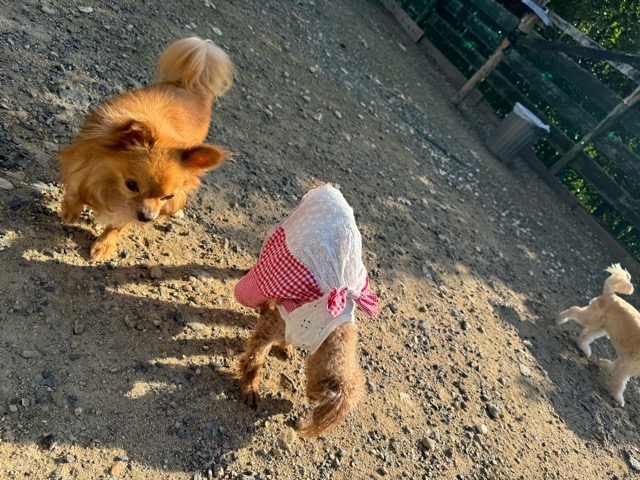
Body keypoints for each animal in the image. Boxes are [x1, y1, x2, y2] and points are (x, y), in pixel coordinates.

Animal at [59, 37, 235, 260]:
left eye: (167, 197)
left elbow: (118, 225)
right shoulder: (82, 165)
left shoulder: (130, 209)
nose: (147, 217)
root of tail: (190, 86)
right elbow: (75, 191)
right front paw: (70, 212)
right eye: (131, 185)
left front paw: (105, 244)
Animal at [234, 185, 379, 436]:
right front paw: (251, 387)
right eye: (321, 401)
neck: (331, 332)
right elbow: (254, 358)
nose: (308, 398)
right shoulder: (276, 322)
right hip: (281, 235)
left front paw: (286, 347)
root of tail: (328, 187)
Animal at [557, 263, 639, 407]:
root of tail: (610, 295)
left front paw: (604, 364)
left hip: (600, 327)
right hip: (591, 318)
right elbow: (620, 383)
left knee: (586, 335)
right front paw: (618, 398)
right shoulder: (627, 365)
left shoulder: (626, 362)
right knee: (575, 311)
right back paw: (560, 319)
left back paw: (584, 348)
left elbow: (615, 367)